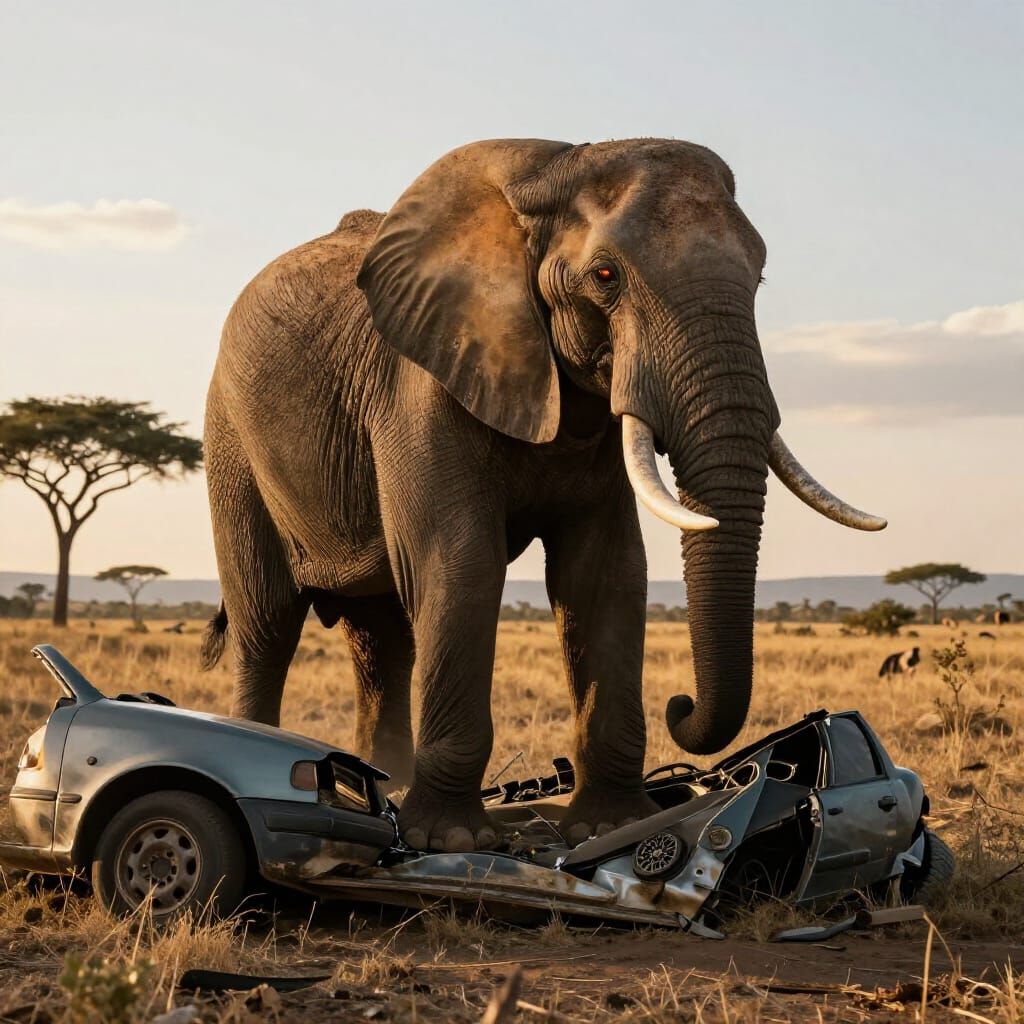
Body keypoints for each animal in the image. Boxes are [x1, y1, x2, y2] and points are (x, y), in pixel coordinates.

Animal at [202, 138, 885, 853]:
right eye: (606, 276)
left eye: (758, 279)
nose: (681, 705)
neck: (551, 168)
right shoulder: (420, 382)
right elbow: (462, 563)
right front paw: (451, 841)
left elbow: (605, 574)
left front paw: (614, 825)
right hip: (230, 440)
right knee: (268, 620)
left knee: (382, 641)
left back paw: (381, 783)